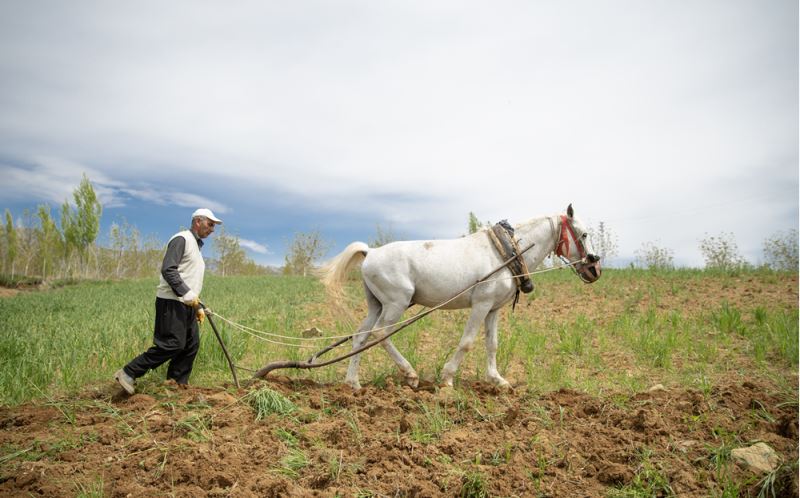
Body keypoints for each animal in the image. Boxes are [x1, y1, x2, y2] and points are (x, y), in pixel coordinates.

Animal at [318, 204, 600, 392]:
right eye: (584, 234)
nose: (595, 268)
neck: (506, 253)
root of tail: (371, 252)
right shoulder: (481, 305)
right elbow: (467, 342)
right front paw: (447, 378)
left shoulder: (493, 309)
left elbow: (492, 344)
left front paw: (497, 380)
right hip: (396, 304)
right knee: (381, 334)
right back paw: (410, 374)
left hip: (376, 305)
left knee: (360, 336)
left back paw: (353, 383)